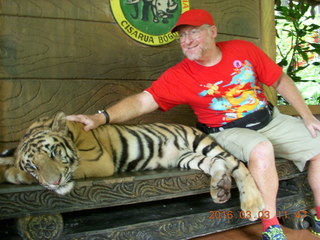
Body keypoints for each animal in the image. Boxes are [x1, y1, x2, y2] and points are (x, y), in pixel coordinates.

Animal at [0, 112, 264, 219]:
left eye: (54, 153)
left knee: (236, 164)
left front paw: (13, 172)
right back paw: (219, 186)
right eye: (33, 166)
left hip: (202, 144)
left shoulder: (99, 161)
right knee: (217, 163)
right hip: (188, 157)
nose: (54, 183)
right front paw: (13, 169)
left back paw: (252, 203)